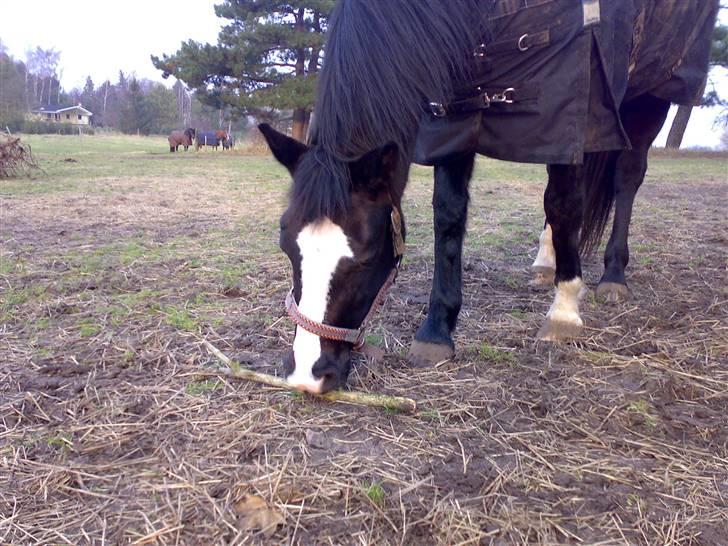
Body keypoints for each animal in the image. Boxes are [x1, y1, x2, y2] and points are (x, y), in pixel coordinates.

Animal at [258, 0, 720, 392]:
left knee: (625, 177)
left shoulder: (572, 100)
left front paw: (565, 310)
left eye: (366, 259)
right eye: (286, 247)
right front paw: (437, 330)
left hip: (650, 93)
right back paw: (547, 261)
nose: (306, 374)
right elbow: (449, 214)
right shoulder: (454, 114)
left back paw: (612, 275)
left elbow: (565, 203)